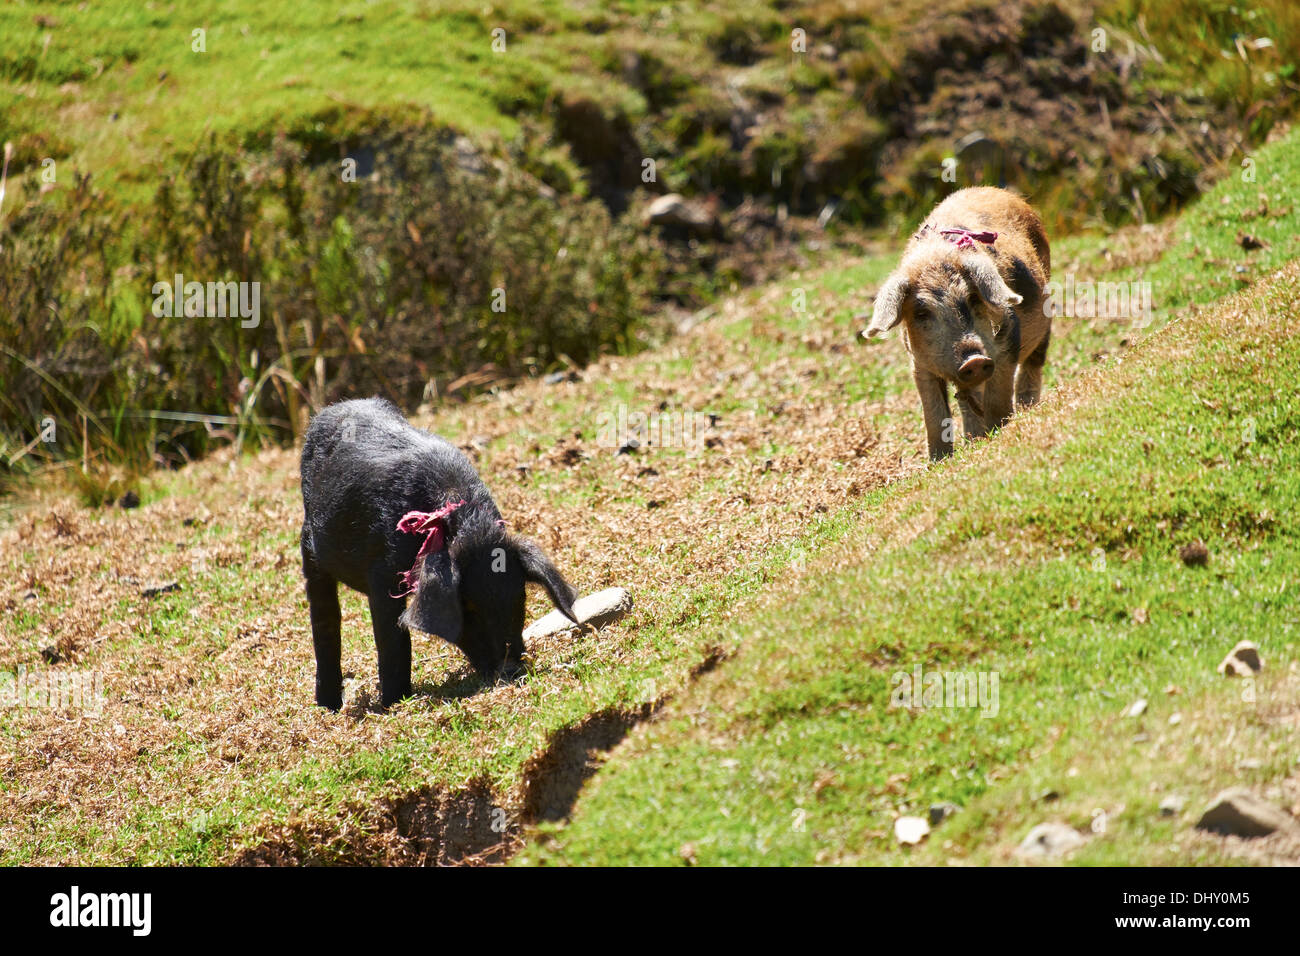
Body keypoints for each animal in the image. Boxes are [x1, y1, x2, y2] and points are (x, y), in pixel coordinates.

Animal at [868, 187, 1050, 463]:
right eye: (921, 312)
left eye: (973, 298)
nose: (973, 360)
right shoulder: (918, 363)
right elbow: (934, 415)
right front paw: (937, 462)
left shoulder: (1008, 339)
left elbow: (998, 397)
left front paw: (1000, 432)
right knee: (967, 400)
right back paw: (973, 439)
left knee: (1032, 367)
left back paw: (1026, 410)